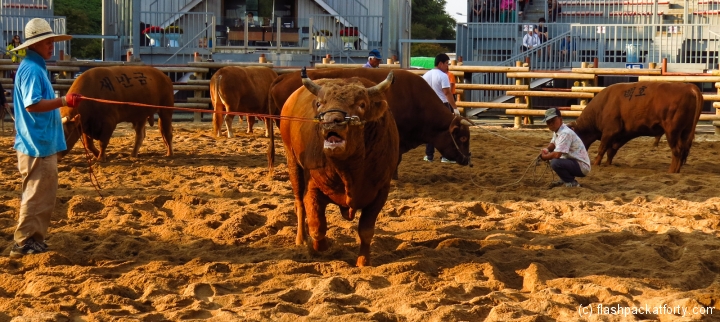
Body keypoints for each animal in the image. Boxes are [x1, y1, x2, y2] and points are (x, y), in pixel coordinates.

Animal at [282, 68, 396, 266]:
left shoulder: (381, 192)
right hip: (293, 162)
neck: (348, 171)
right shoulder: (313, 187)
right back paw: (301, 239)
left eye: (361, 104)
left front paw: (363, 261)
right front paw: (319, 247)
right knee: (299, 203)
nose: (331, 120)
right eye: (320, 103)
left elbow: (366, 231)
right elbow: (317, 227)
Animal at [568, 82, 704, 174]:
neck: (603, 105)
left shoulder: (609, 131)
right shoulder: (621, 134)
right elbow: (611, 150)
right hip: (685, 132)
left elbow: (602, 149)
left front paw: (596, 164)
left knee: (677, 151)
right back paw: (677, 170)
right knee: (683, 150)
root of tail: (689, 87)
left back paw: (671, 171)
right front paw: (608, 164)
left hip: (672, 132)